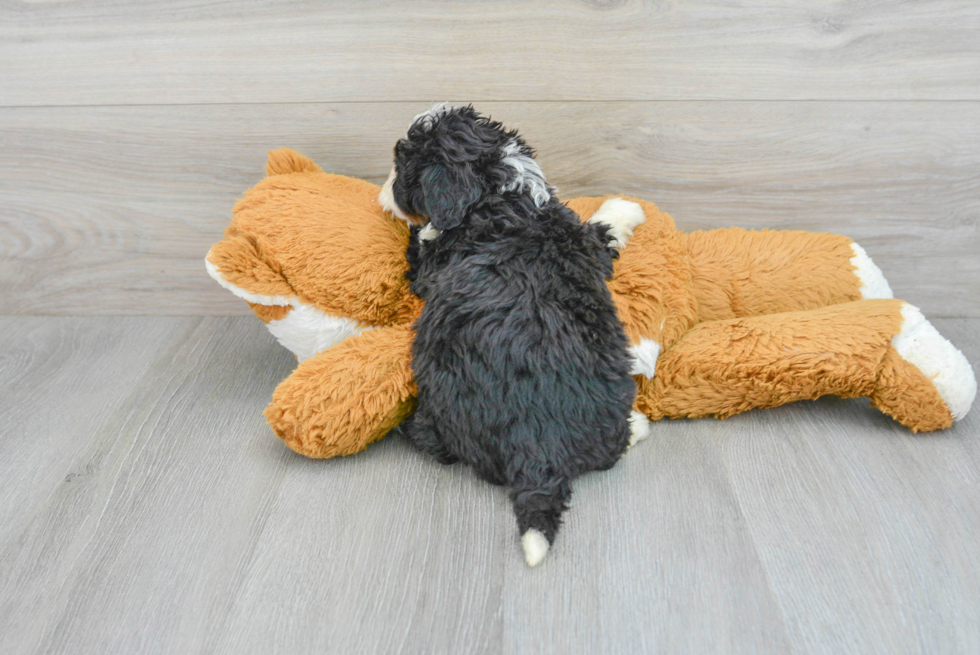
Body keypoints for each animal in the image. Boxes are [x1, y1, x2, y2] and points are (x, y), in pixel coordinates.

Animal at [378, 105, 648, 568]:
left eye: (402, 168)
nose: (382, 189)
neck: (503, 198)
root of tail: (539, 451)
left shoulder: (430, 266)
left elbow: (420, 242)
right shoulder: (585, 241)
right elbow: (601, 229)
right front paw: (625, 207)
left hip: (441, 397)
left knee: (437, 444)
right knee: (614, 447)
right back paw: (640, 424)